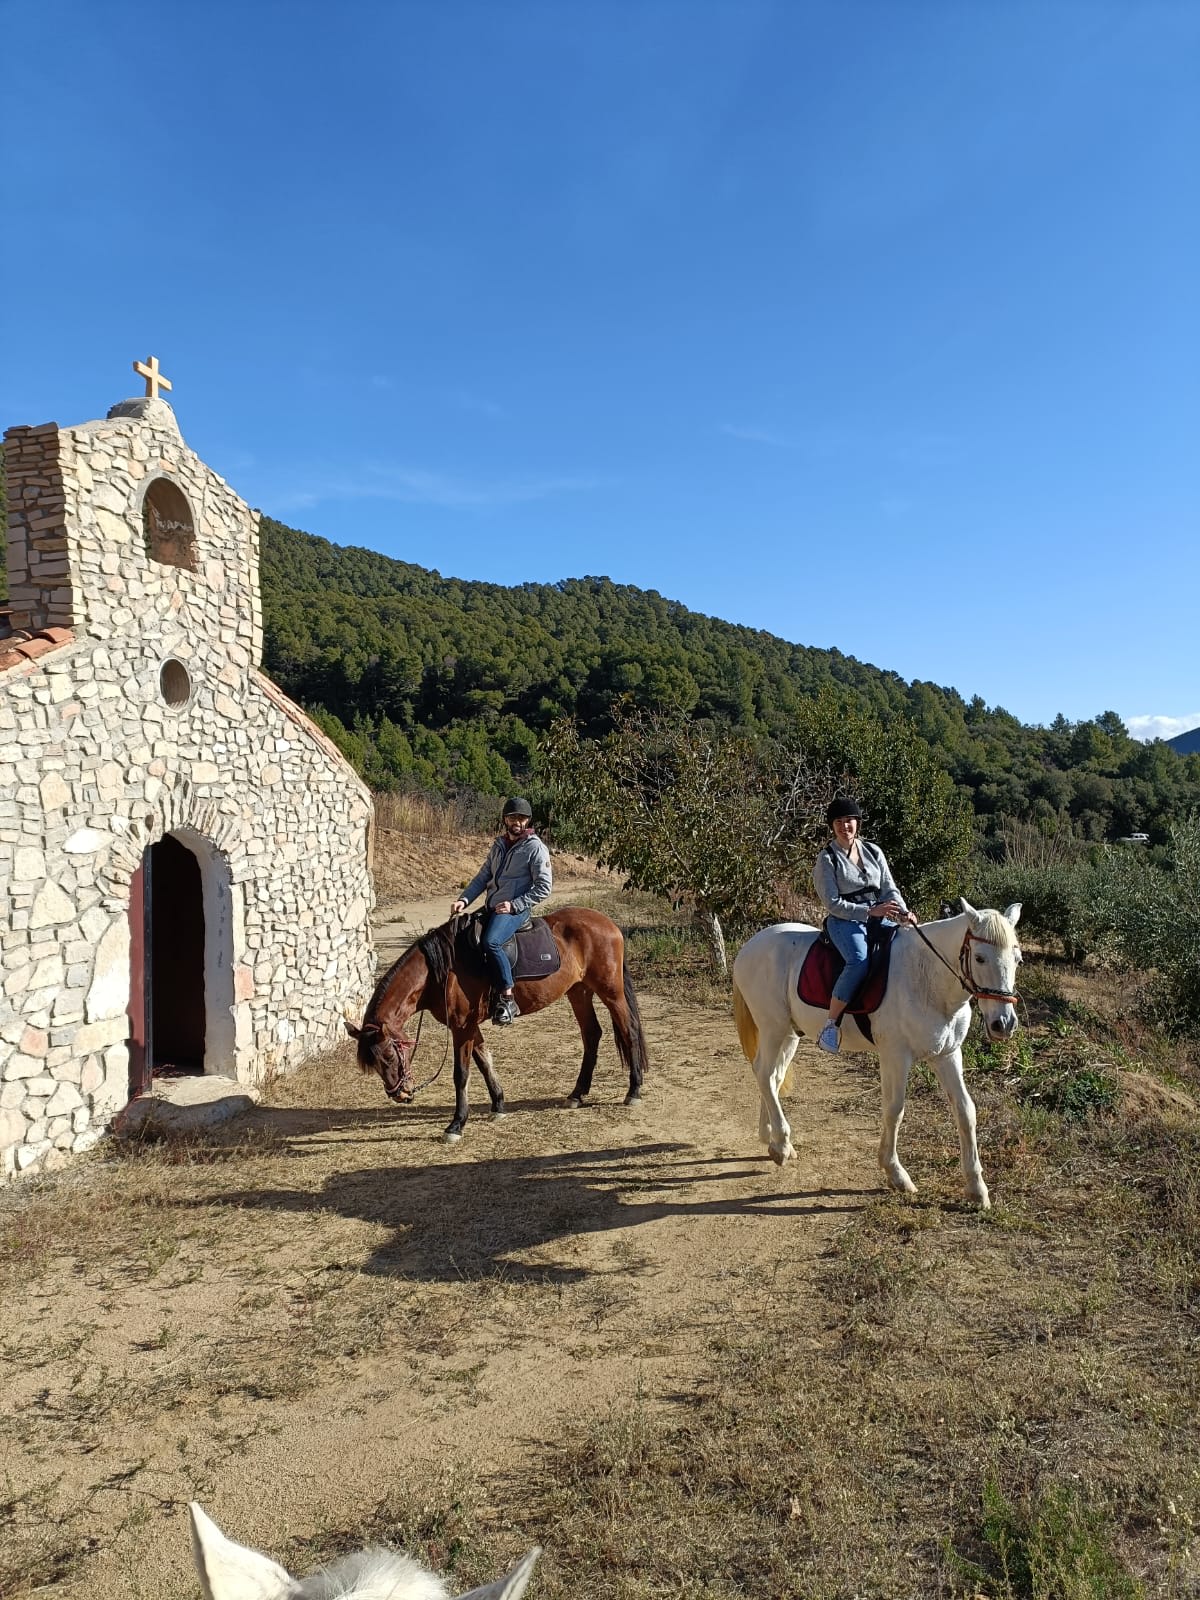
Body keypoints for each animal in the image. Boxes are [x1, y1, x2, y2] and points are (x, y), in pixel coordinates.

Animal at [346, 907, 649, 1143]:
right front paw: (498, 1105)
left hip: (611, 992)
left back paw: (634, 1090)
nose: (399, 1094)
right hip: (579, 991)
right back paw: (577, 1094)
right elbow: (484, 1061)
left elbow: (462, 1074)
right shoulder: (469, 1027)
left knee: (629, 1030)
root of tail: (608, 923)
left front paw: (456, 1124)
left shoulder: (462, 1027)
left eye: (388, 1055)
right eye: (372, 1063)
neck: (440, 972)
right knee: (591, 1035)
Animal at [730, 899, 1022, 1207]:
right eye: (979, 958)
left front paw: (977, 1189)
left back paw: (772, 1140)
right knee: (764, 1074)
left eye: (1018, 960)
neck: (926, 977)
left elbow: (966, 1111)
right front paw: (895, 1173)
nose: (1003, 1024)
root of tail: (752, 944)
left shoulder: (947, 1055)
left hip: (788, 1033)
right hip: (773, 1028)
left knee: (772, 1077)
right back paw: (782, 1145)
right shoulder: (896, 1056)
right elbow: (894, 1110)